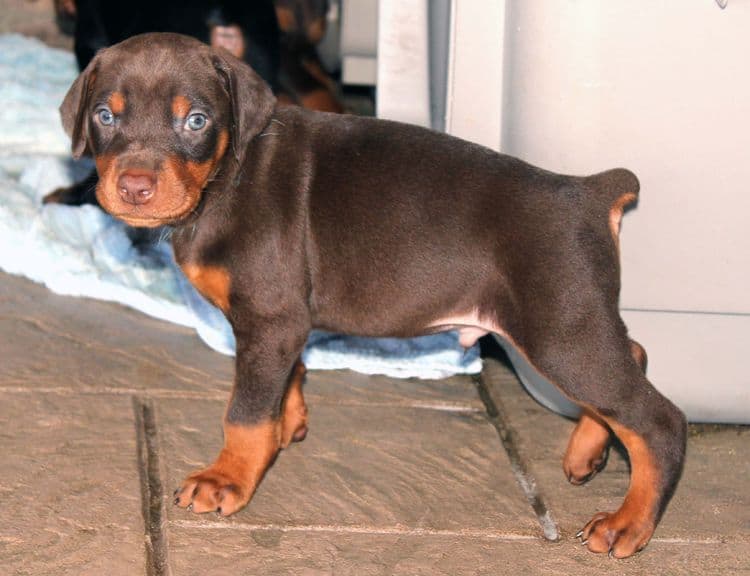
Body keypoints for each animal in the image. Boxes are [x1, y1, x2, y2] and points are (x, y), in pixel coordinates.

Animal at [60, 32, 688, 560]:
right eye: (104, 115)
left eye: (195, 120)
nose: (134, 187)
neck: (225, 179)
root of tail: (589, 191)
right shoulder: (286, 323)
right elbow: (287, 377)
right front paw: (289, 424)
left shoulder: (269, 317)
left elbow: (245, 411)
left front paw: (228, 478)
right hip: (563, 321)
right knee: (631, 359)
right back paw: (587, 452)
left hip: (557, 325)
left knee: (657, 418)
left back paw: (628, 523)